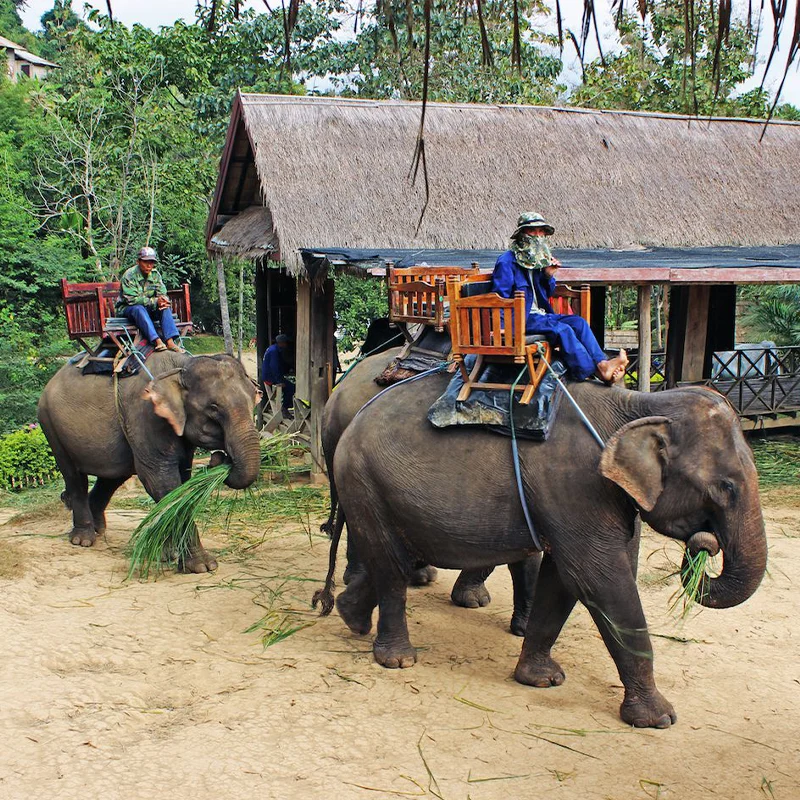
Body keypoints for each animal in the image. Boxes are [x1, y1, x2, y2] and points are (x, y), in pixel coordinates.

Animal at [38, 352, 261, 572]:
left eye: (254, 398)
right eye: (214, 408)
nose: (219, 458)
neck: (180, 367)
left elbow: (181, 481)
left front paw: (165, 555)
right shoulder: (146, 417)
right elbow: (161, 482)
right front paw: (203, 566)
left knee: (113, 477)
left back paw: (97, 528)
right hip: (51, 426)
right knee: (75, 477)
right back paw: (83, 539)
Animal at [332, 376, 767, 728]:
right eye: (725, 488)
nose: (704, 543)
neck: (638, 404)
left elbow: (563, 579)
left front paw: (540, 680)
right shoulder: (576, 485)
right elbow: (597, 578)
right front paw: (659, 719)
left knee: (397, 559)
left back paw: (351, 616)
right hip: (364, 480)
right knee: (391, 565)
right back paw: (397, 659)